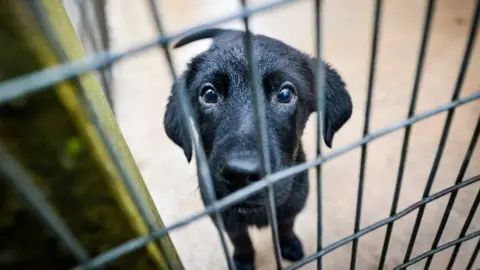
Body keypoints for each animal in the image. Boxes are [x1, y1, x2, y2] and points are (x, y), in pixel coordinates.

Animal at [165, 28, 352, 268]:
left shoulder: (293, 203)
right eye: (209, 94)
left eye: (285, 94)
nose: (240, 174)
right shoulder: (223, 215)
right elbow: (240, 238)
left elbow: (286, 226)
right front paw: (243, 260)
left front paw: (288, 245)